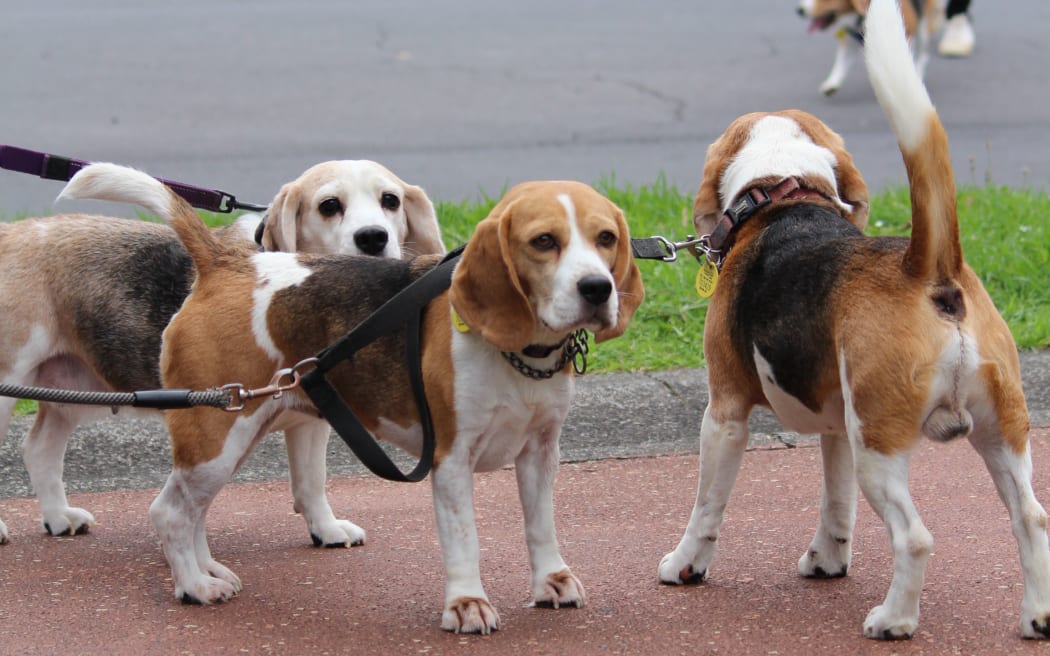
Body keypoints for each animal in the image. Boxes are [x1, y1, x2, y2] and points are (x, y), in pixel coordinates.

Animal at [0, 159, 443, 545]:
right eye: (329, 206)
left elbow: (311, 482)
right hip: (11, 384)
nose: (373, 237)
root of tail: (11, 232)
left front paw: (327, 529)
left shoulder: (314, 417)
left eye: (391, 200)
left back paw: (59, 517)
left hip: (71, 389)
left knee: (39, 449)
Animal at [59, 164, 646, 633]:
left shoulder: (541, 453)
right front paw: (466, 605)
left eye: (606, 238)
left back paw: (206, 571)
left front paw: (552, 581)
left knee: (190, 510)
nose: (597, 289)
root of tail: (227, 261)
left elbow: (541, 525)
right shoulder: (451, 460)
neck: (519, 353)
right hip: (217, 437)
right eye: (544, 241)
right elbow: (465, 539)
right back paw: (194, 587)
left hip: (232, 430)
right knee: (169, 512)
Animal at [797, 0, 940, 95]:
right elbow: (841, 62)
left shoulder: (905, 34)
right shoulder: (849, 40)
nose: (799, 10)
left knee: (923, 55)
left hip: (923, 29)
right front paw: (832, 82)